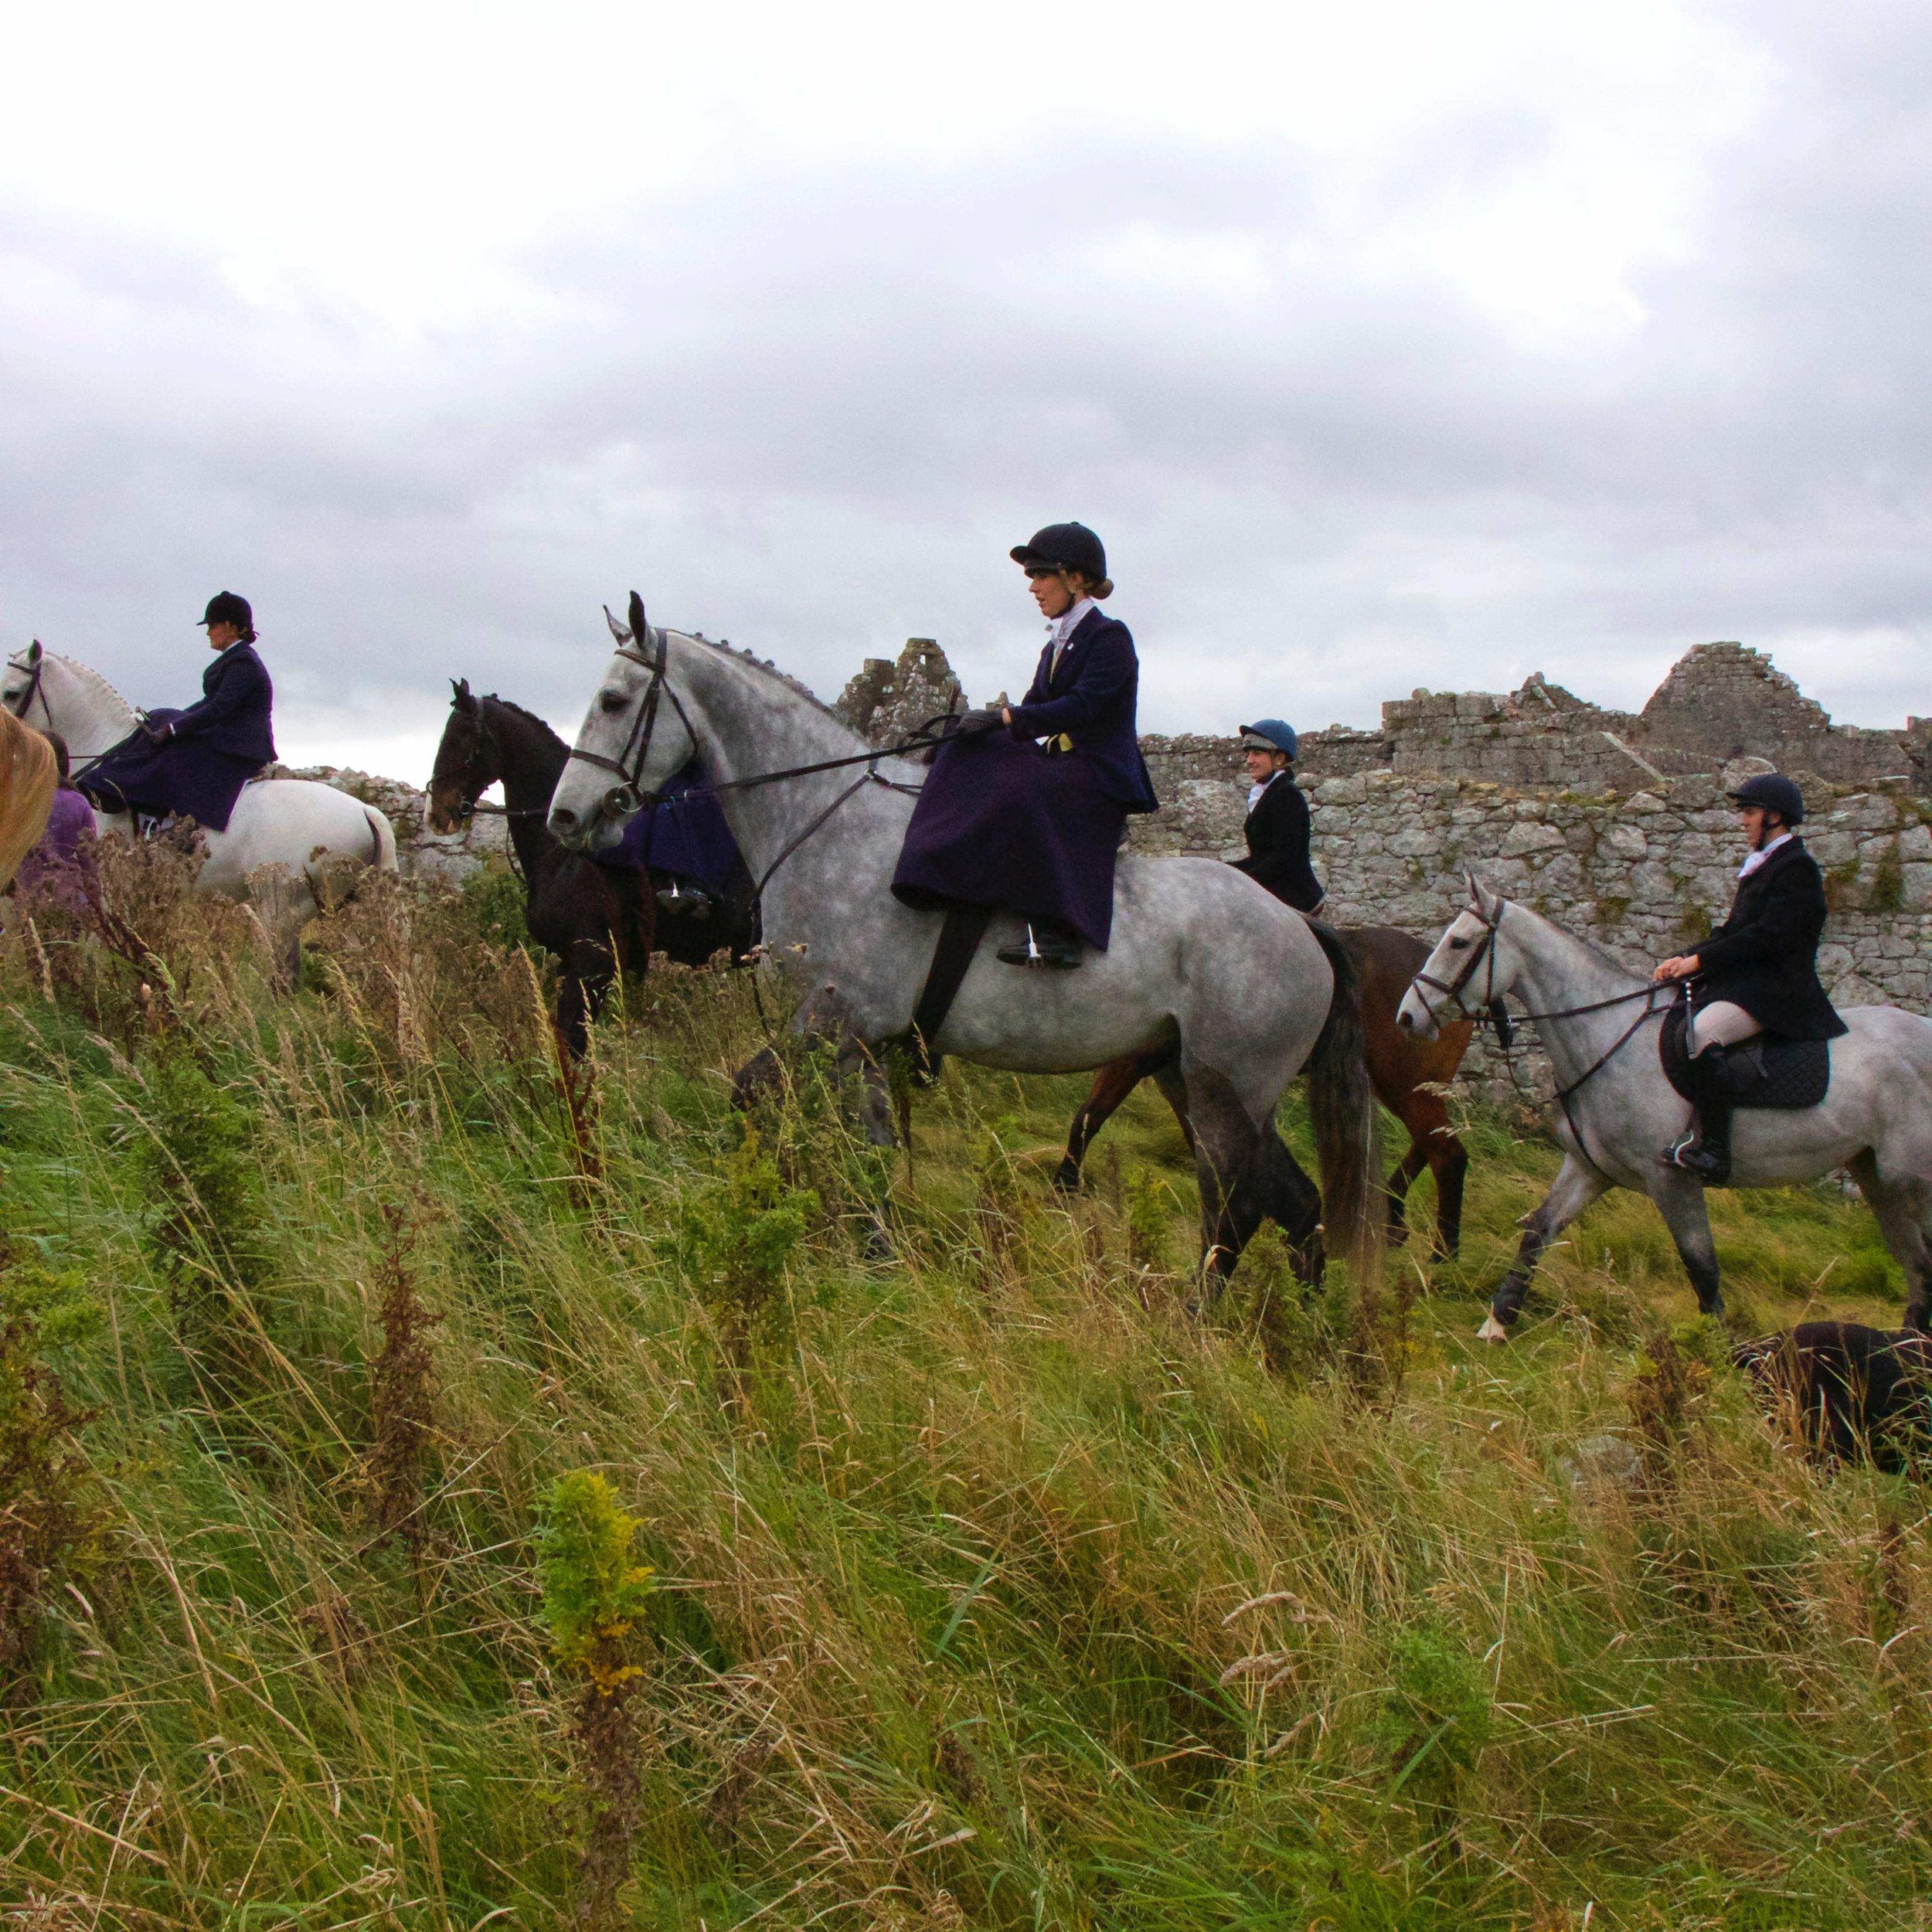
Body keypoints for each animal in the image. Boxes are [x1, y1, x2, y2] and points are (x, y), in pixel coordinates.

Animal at [553, 587, 1383, 1283]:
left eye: (615, 700)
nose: (566, 817)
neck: (829, 822)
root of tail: (1306, 931)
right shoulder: (862, 1044)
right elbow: (871, 1153)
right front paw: (880, 1260)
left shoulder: (831, 1023)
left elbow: (751, 1096)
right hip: (1193, 1080)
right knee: (1295, 1205)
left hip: (1225, 1090)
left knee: (1238, 1210)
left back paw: (1195, 1333)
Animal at [1059, 923, 1476, 1260]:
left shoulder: (1135, 1063)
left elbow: (1089, 1117)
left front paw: (1065, 1186)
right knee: (1430, 1145)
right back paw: (1394, 1223)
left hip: (1405, 1085)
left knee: (1447, 1156)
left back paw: (1443, 1257)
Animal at [1399, 885, 1932, 1337]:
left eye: (1458, 942)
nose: (1407, 1016)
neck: (1608, 1036)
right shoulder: (1588, 1168)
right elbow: (1539, 1230)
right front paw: (1499, 1320)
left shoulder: (1671, 1179)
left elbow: (1702, 1267)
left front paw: (1717, 1357)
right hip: (1878, 1177)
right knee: (1917, 1265)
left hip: (1911, 1180)